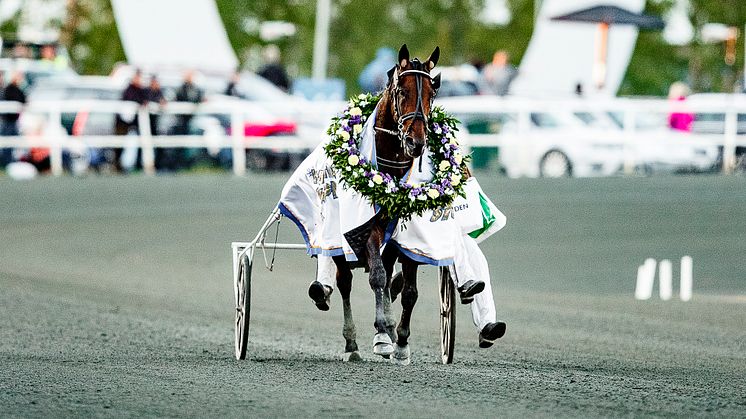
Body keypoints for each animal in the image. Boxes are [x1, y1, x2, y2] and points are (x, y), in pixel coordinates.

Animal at [322, 43, 438, 364]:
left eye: (432, 94)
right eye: (402, 92)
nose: (416, 142)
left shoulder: (406, 234)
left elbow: (408, 290)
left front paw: (400, 341)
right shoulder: (367, 226)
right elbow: (376, 276)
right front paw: (383, 331)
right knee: (346, 281)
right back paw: (352, 343)